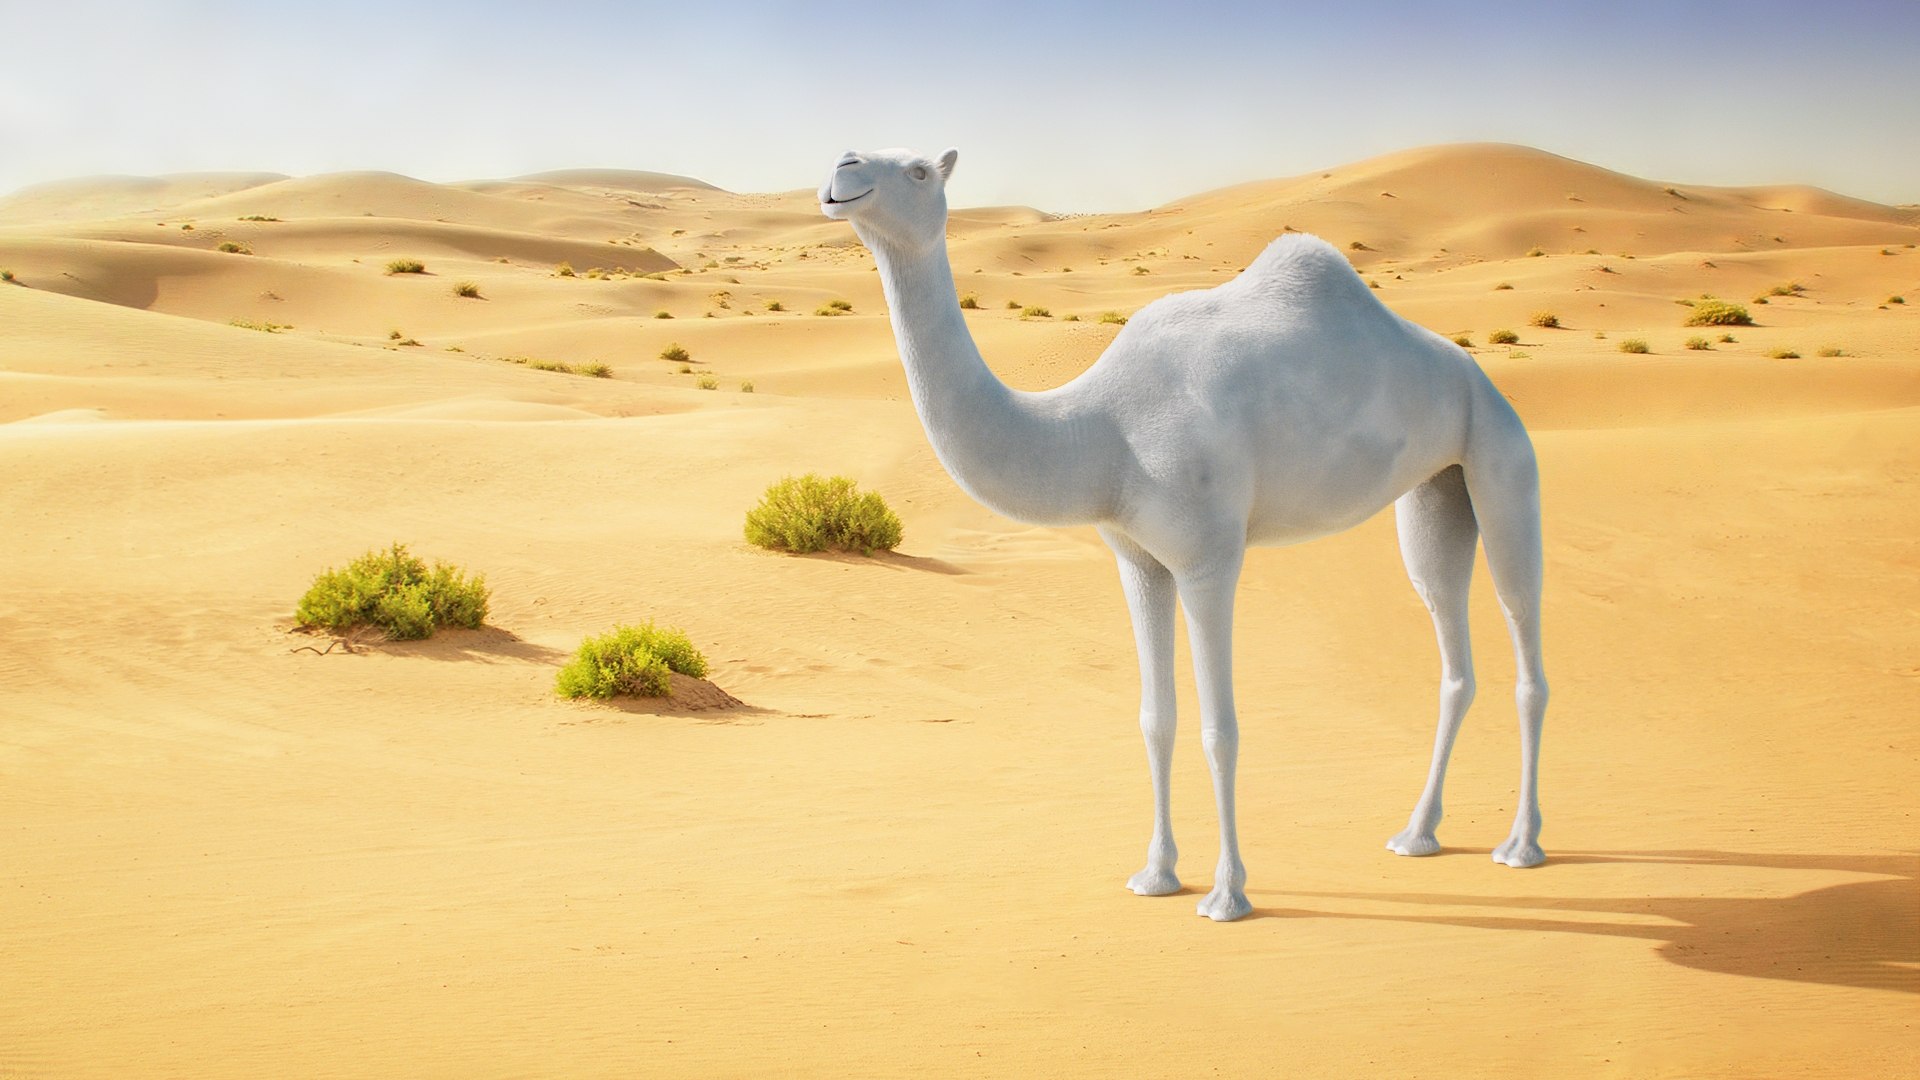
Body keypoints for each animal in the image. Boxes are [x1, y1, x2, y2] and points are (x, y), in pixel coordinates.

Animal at [820, 147, 1549, 922]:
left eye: (920, 171)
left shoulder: (1208, 559)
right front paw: (1157, 874)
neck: (1101, 429)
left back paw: (1521, 845)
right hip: (1435, 486)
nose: (842, 170)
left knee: (1524, 640)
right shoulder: (1138, 561)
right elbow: (1156, 718)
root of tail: (1476, 372)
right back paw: (1417, 833)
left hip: (1501, 453)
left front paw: (1228, 894)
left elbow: (1219, 729)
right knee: (1450, 643)